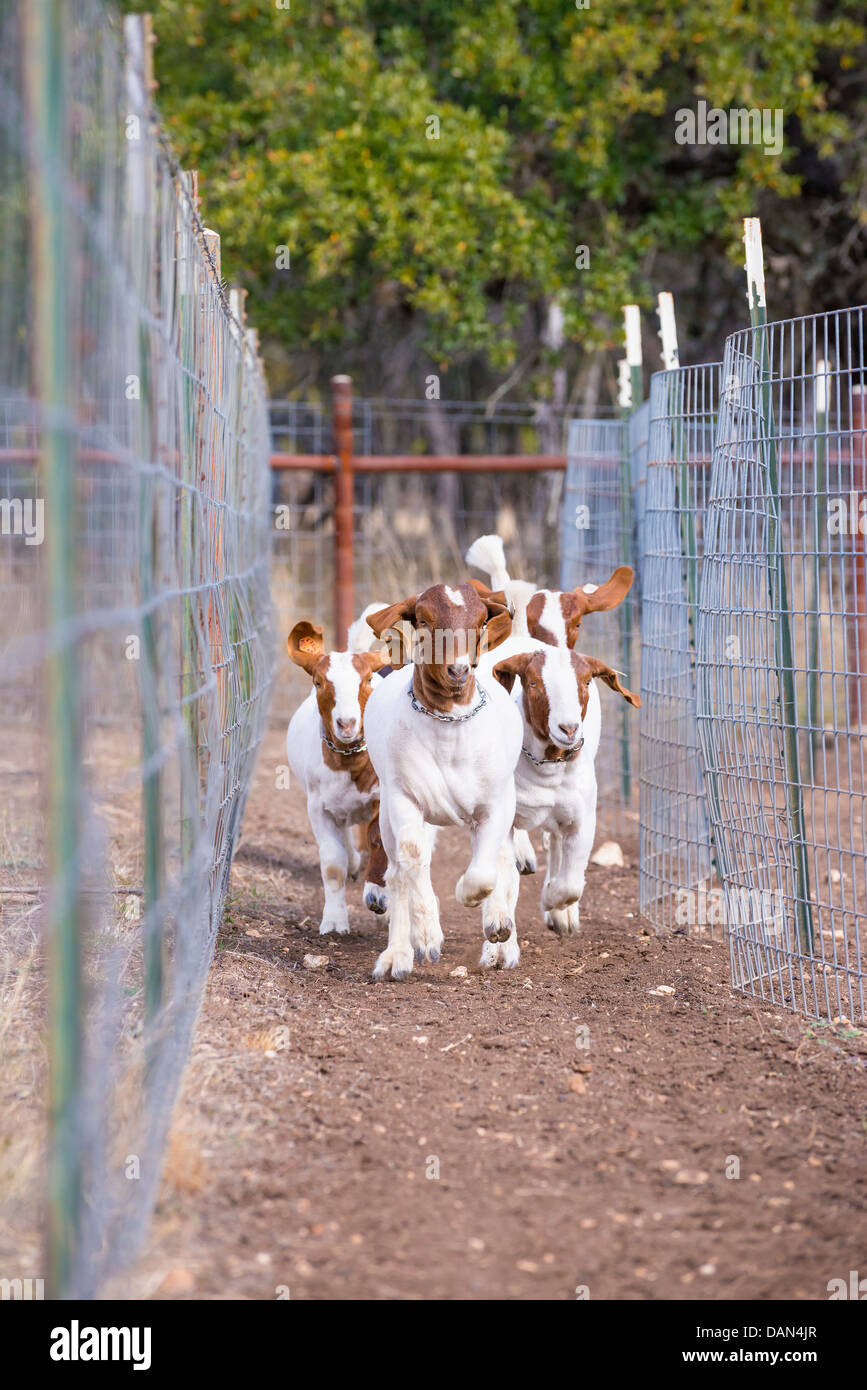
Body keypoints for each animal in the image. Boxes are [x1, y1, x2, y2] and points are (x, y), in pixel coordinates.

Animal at [286, 605, 388, 934]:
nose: (347, 723)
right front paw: (334, 920)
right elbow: (332, 864)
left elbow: (382, 841)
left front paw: (381, 898)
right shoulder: (318, 806)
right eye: (318, 682)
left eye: (367, 680)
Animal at [363, 582, 518, 980]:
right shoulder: (403, 798)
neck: (449, 728)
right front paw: (427, 936)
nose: (458, 670)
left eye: (481, 621)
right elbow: (412, 858)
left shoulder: (494, 804)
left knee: (505, 861)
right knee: (398, 871)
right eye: (423, 620)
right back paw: (398, 955)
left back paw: (500, 937)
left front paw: (472, 899)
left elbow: (486, 870)